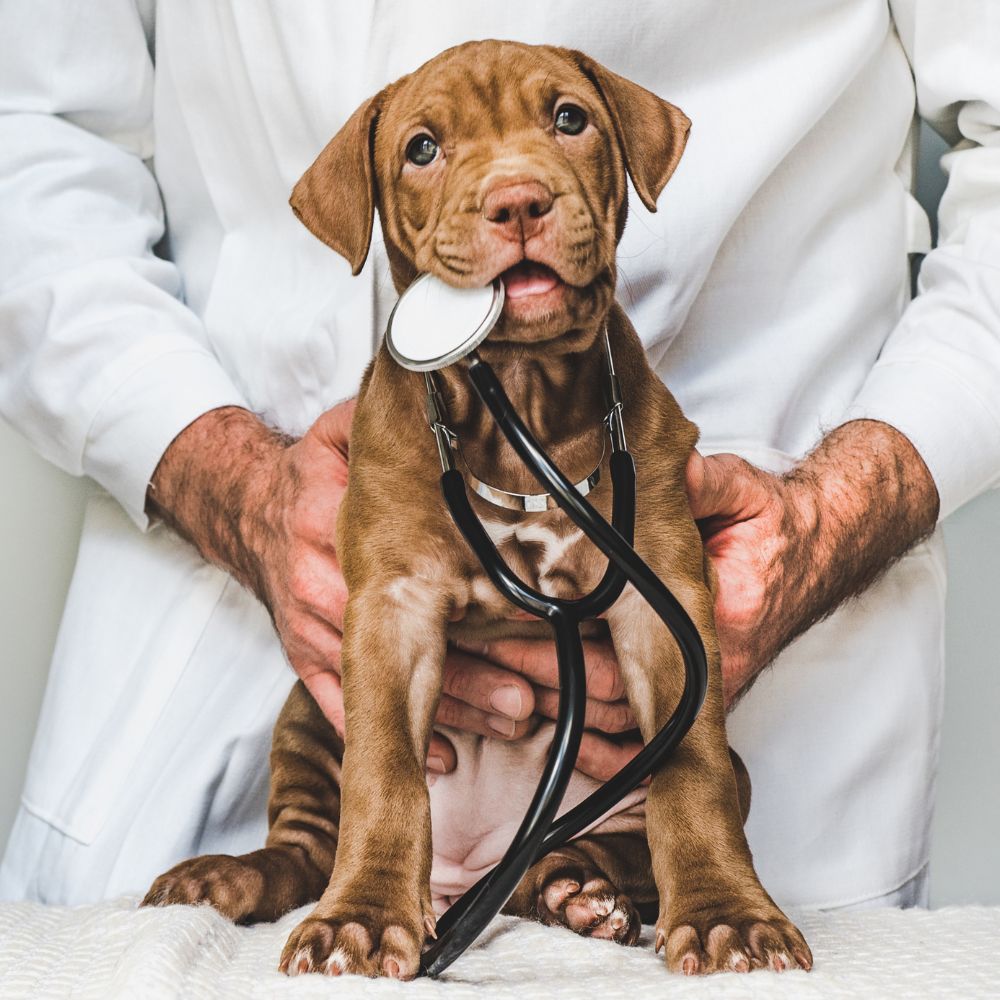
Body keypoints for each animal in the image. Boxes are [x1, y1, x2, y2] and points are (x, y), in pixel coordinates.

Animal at [143, 43, 812, 980]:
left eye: (569, 119)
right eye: (423, 149)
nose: (518, 199)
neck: (519, 400)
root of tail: (470, 878)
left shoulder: (664, 602)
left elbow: (694, 772)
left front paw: (728, 916)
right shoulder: (388, 608)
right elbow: (385, 773)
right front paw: (360, 918)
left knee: (600, 848)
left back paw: (579, 889)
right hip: (308, 711)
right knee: (305, 848)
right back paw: (225, 877)